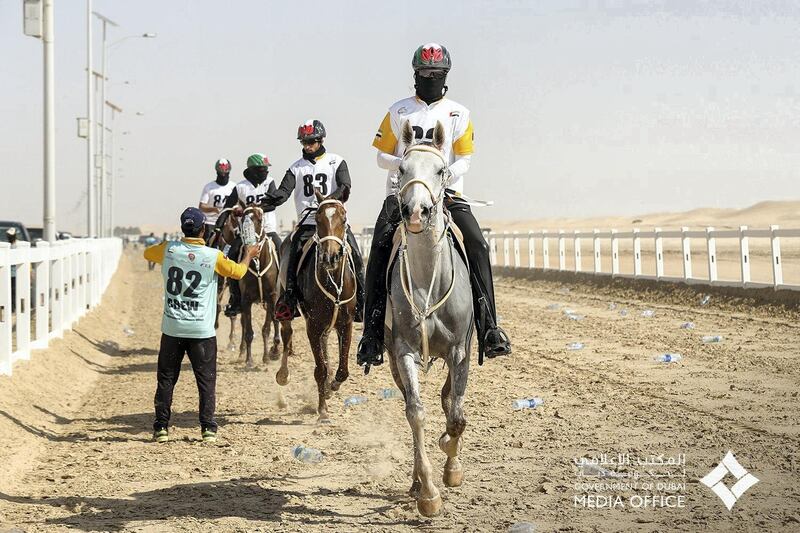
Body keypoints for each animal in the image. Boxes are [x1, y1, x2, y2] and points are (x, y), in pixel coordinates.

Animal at [278, 190, 360, 420]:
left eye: (343, 218)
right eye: (318, 220)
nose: (330, 257)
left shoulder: (345, 324)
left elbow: (343, 370)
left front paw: (333, 385)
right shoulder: (312, 326)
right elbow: (319, 369)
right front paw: (322, 410)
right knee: (286, 334)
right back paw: (283, 375)